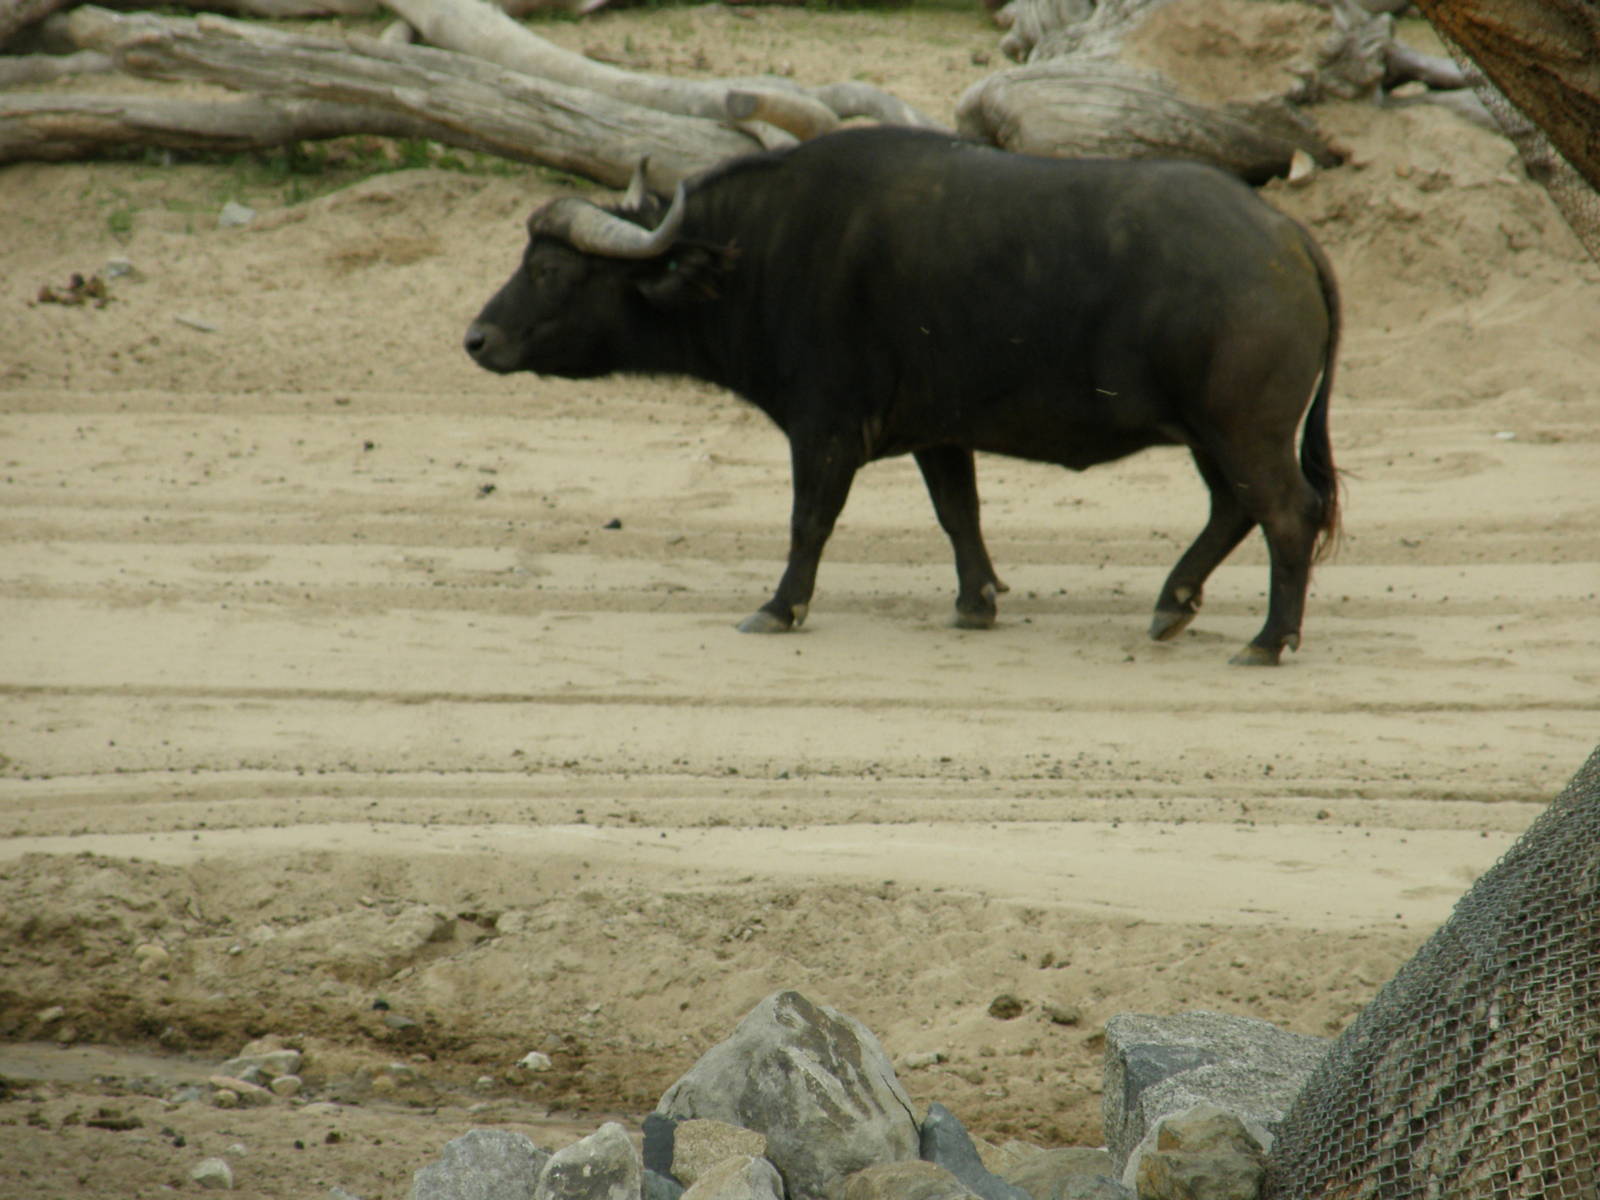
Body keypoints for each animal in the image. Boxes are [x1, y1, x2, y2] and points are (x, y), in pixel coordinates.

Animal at [466, 127, 1340, 664]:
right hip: (1209, 433)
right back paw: (1174, 602)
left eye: (549, 268)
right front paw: (976, 602)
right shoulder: (939, 432)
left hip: (1244, 428)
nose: (476, 339)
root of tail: (1284, 236)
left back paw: (1270, 640)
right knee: (1234, 509)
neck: (760, 253)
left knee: (1286, 514)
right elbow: (960, 514)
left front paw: (779, 607)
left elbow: (809, 522)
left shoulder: (824, 431)